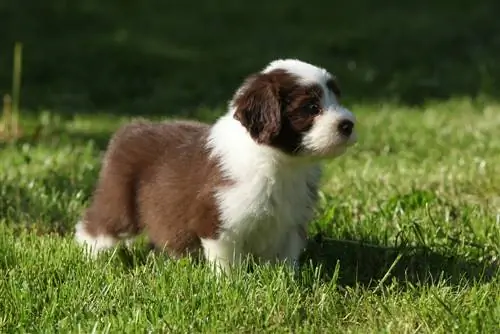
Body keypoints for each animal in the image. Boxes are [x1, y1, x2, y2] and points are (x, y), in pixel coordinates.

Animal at [74, 59, 358, 274]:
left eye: (337, 98)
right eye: (311, 107)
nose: (348, 124)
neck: (281, 163)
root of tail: (132, 128)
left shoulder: (291, 220)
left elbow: (287, 256)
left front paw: (288, 279)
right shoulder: (219, 219)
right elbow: (226, 261)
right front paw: (231, 284)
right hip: (120, 198)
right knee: (98, 224)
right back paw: (92, 255)